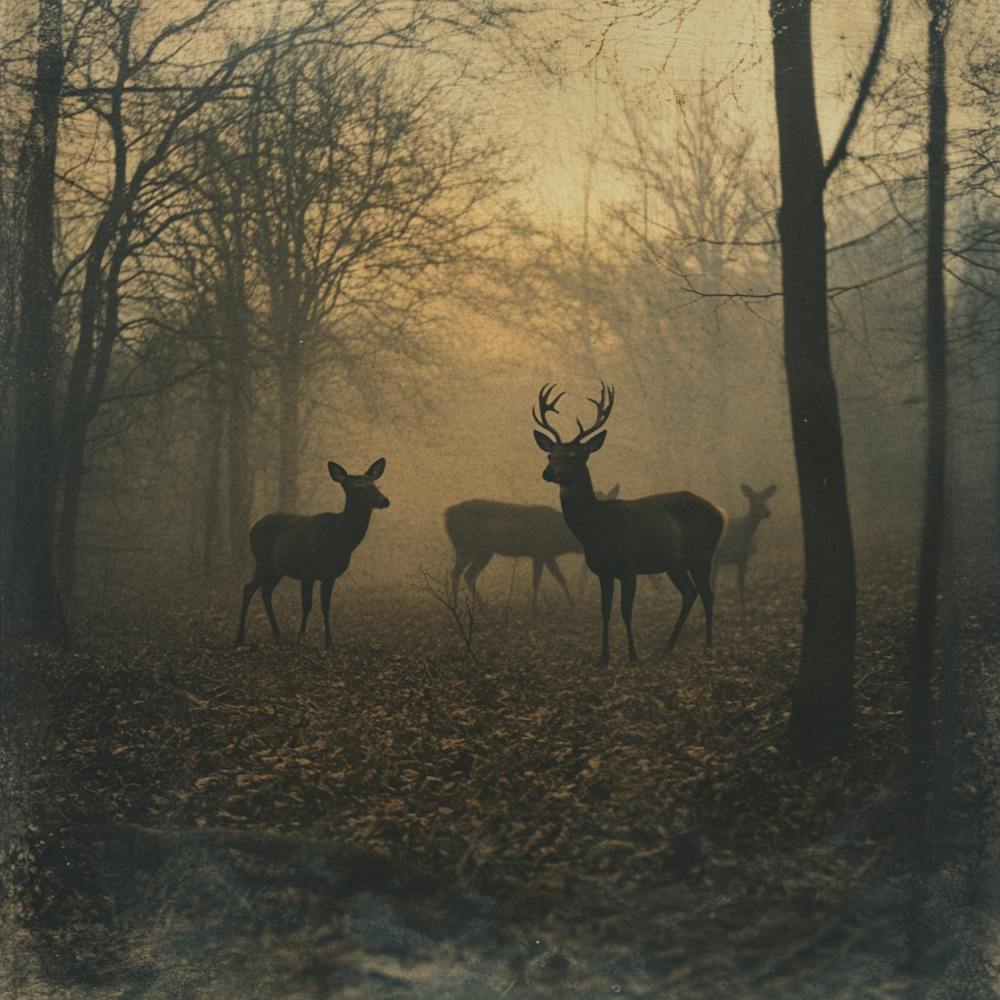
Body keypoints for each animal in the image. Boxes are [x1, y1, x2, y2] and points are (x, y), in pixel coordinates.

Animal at [235, 458, 389, 648]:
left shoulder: (329, 575)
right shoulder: (307, 571)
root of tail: (252, 529)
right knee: (248, 589)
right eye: (359, 488)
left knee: (265, 591)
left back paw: (277, 633)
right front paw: (300, 638)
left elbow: (326, 606)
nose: (385, 500)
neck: (340, 541)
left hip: (277, 569)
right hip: (262, 560)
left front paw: (329, 641)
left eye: (374, 484)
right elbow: (307, 605)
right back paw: (240, 637)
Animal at [444, 485, 620, 613]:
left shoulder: (543, 554)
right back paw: (455, 606)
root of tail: (447, 516)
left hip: (485, 551)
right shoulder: (543, 550)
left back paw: (483, 607)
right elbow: (548, 579)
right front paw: (545, 607)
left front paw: (548, 606)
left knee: (469, 575)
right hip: (466, 545)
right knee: (455, 573)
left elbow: (548, 579)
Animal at [532, 383, 726, 665]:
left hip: (701, 553)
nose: (548, 473)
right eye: (549, 455)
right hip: (675, 563)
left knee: (708, 594)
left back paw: (708, 647)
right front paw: (603, 657)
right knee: (690, 593)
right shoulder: (603, 571)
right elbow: (605, 611)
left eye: (573, 455)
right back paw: (667, 647)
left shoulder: (629, 565)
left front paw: (633, 655)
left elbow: (625, 611)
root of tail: (720, 513)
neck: (597, 530)